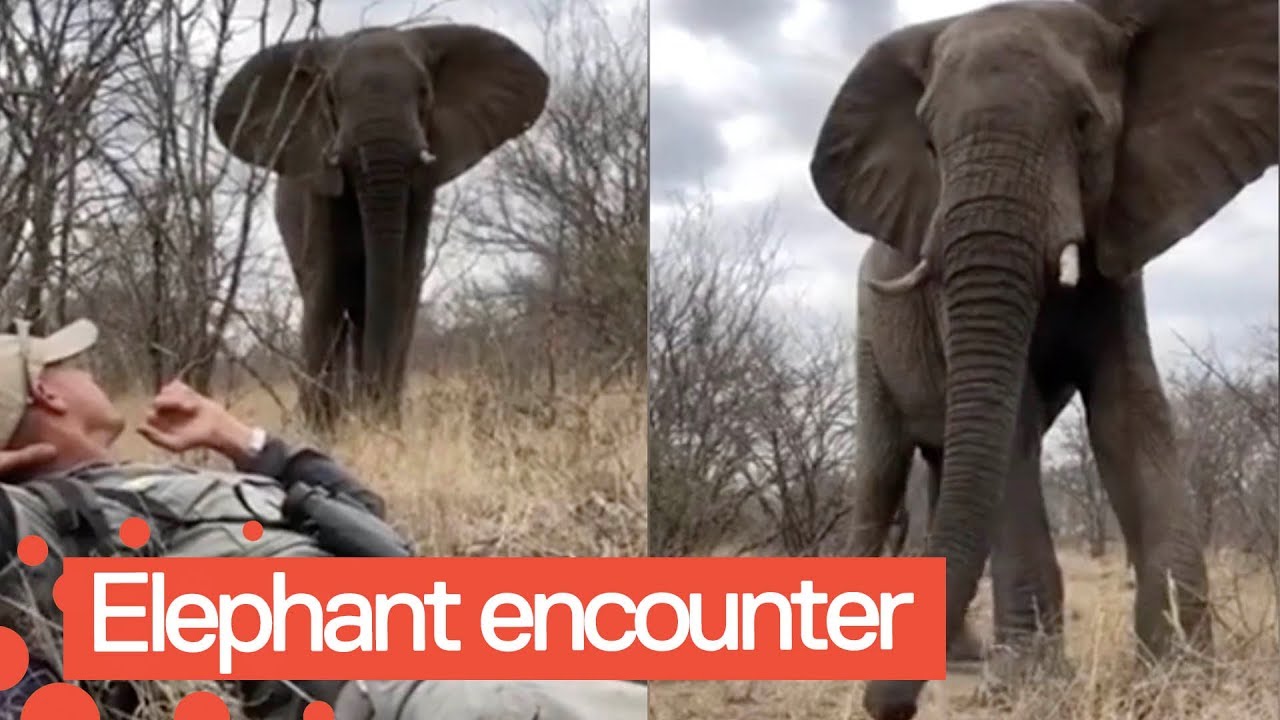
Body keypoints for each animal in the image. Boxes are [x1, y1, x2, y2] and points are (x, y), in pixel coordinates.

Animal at [212, 24, 549, 430]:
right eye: (331, 96)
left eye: (424, 91)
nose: (372, 404)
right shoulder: (318, 191)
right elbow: (325, 292)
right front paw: (325, 429)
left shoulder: (420, 197)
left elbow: (401, 290)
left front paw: (382, 423)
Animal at [808, 1, 1277, 718]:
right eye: (930, 145)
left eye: (1084, 123)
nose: (889, 707)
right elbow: (1017, 427)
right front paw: (1030, 682)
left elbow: (1129, 413)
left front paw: (1185, 676)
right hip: (868, 337)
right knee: (882, 472)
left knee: (941, 469)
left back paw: (961, 656)